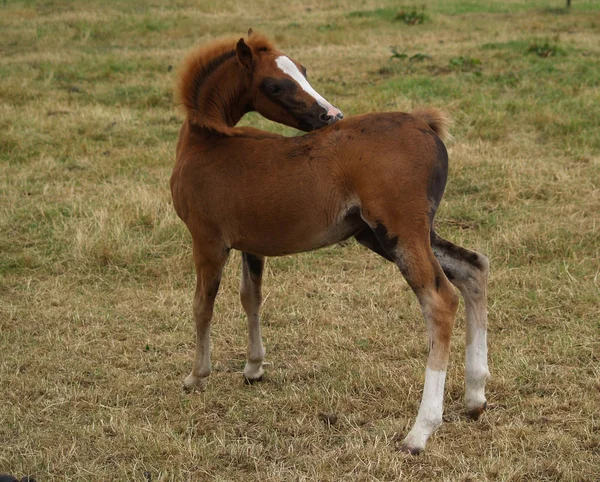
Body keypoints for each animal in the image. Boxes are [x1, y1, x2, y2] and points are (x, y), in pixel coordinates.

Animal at [171, 31, 490, 456]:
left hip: (399, 233)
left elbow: (201, 306)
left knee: (440, 299)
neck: (208, 141)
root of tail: (424, 125)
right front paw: (253, 367)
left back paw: (420, 431)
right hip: (396, 234)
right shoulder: (250, 241)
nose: (332, 115)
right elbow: (250, 296)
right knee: (473, 268)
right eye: (275, 84)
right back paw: (475, 397)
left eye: (302, 71)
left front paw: (196, 376)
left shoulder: (207, 241)